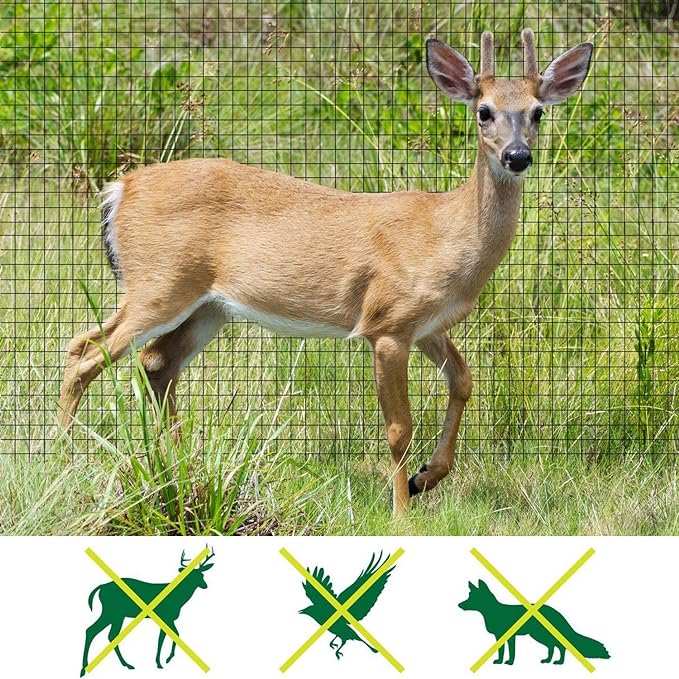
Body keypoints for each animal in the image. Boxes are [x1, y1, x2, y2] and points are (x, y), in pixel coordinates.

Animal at [58, 29, 592, 517]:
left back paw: (176, 466)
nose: (517, 156)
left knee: (155, 363)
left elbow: (463, 379)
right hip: (159, 283)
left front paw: (426, 478)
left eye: (538, 112)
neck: (444, 234)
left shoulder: (426, 325)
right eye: (484, 111)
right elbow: (399, 428)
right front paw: (402, 512)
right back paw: (64, 458)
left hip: (208, 306)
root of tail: (119, 189)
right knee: (85, 350)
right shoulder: (387, 324)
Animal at [80, 549, 214, 676]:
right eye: (191, 575)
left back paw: (123, 665)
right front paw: (162, 661)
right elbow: (168, 637)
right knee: (95, 631)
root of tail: (101, 587)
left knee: (106, 634)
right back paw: (85, 668)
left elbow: (174, 635)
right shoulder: (166, 617)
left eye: (202, 575)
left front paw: (164, 659)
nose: (205, 585)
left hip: (117, 615)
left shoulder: (167, 619)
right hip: (111, 612)